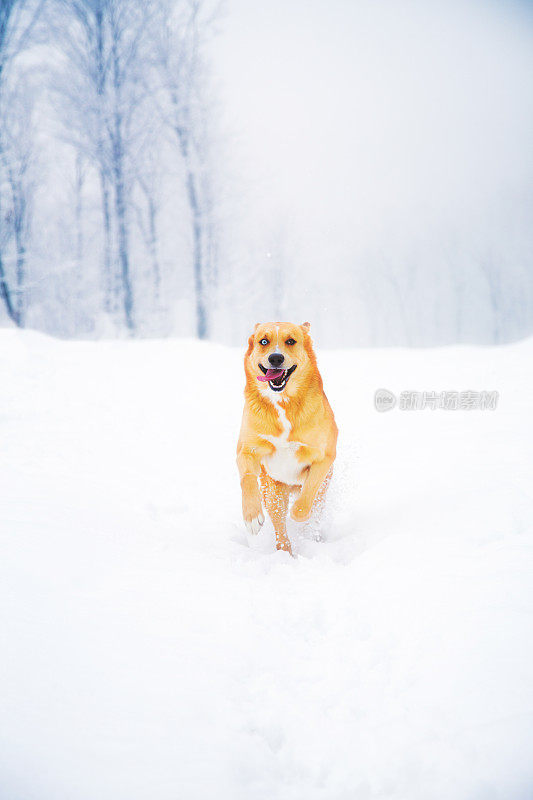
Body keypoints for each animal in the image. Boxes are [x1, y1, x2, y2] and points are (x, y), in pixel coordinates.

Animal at [237, 322, 336, 552]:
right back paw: (285, 552)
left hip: (322, 489)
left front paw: (298, 514)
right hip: (272, 492)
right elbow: (247, 478)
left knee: (312, 508)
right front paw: (251, 516)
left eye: (290, 341)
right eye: (264, 341)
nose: (275, 358)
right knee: (280, 530)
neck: (282, 402)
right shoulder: (247, 449)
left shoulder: (324, 457)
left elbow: (308, 492)